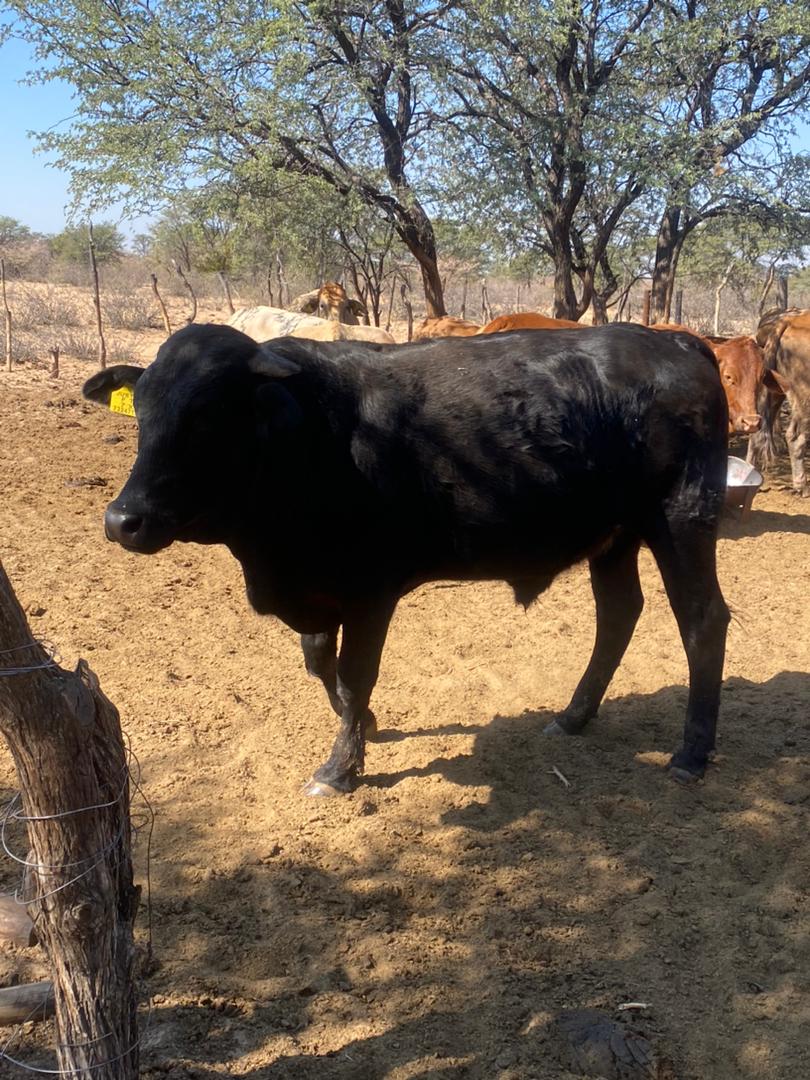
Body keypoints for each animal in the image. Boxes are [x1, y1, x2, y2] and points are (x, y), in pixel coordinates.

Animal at [85, 319, 734, 794]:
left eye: (207, 416)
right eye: (142, 410)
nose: (123, 520)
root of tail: (674, 340)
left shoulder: (371, 591)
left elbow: (355, 673)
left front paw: (340, 767)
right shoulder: (319, 587)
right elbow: (319, 661)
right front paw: (362, 725)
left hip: (681, 520)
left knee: (703, 620)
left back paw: (692, 753)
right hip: (614, 537)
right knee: (618, 614)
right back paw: (574, 715)